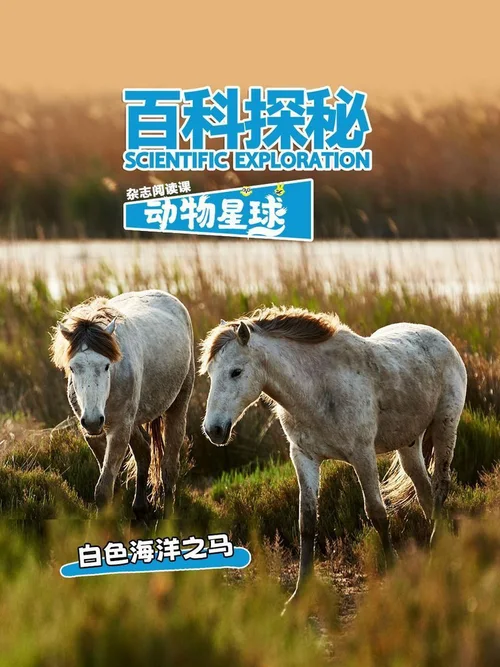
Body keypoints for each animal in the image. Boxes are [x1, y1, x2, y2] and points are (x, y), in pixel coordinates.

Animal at [50, 290, 195, 518]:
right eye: (73, 368)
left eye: (106, 365)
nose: (93, 421)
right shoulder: (95, 435)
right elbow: (110, 484)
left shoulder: (119, 430)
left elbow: (103, 489)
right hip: (132, 421)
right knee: (144, 453)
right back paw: (140, 508)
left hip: (177, 406)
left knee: (169, 467)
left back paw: (167, 517)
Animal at [199, 306, 467, 607]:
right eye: (210, 373)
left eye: (236, 372)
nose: (214, 430)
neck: (318, 388)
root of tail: (440, 338)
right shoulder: (304, 457)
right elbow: (306, 522)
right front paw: (298, 595)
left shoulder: (362, 454)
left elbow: (377, 513)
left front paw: (394, 575)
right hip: (408, 445)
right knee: (424, 493)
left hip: (445, 427)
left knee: (440, 486)